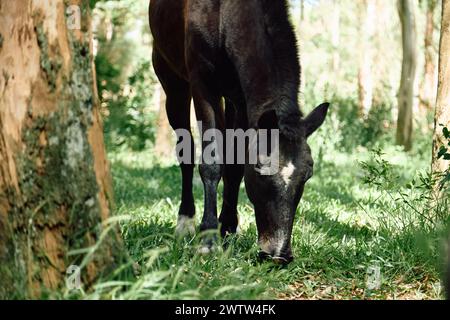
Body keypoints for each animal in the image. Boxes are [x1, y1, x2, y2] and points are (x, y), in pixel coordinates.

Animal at [149, 0, 328, 262]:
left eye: (308, 174)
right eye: (261, 172)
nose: (279, 254)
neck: (225, 15)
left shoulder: (243, 102)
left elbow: (234, 165)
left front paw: (227, 228)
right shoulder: (203, 85)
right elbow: (211, 163)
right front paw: (208, 239)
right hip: (172, 82)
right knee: (185, 151)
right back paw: (185, 221)